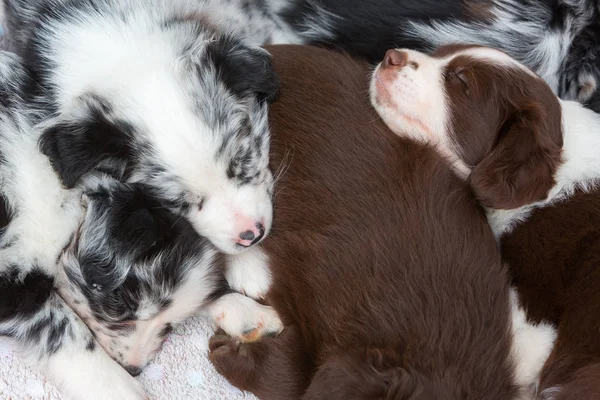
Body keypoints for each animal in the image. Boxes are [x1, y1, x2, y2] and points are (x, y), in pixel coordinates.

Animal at [0, 51, 282, 398]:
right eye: (122, 304)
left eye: (172, 324)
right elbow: (62, 328)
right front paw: (117, 387)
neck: (65, 197)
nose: (133, 369)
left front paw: (246, 310)